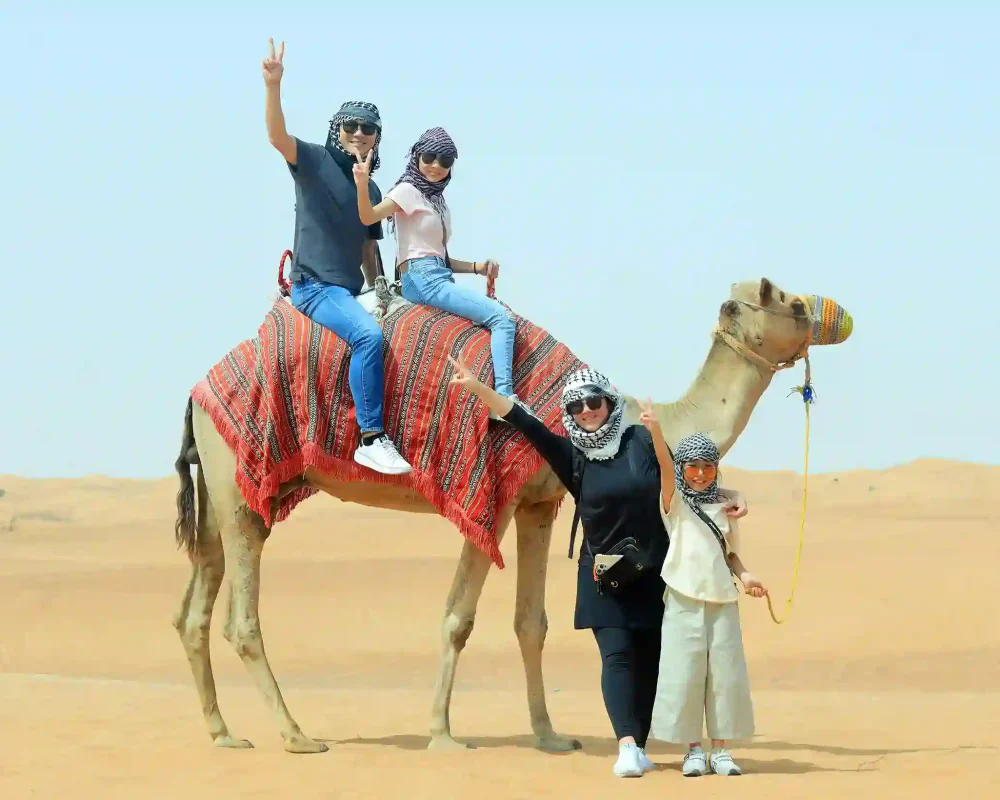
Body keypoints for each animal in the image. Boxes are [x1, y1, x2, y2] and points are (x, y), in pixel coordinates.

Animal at [171, 277, 848, 754]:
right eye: (787, 300)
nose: (837, 315)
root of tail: (196, 393)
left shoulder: (539, 502)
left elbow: (532, 622)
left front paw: (550, 736)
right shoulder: (490, 500)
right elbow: (458, 618)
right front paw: (442, 734)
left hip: (219, 492)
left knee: (193, 611)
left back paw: (223, 732)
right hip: (242, 488)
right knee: (241, 618)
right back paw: (296, 735)